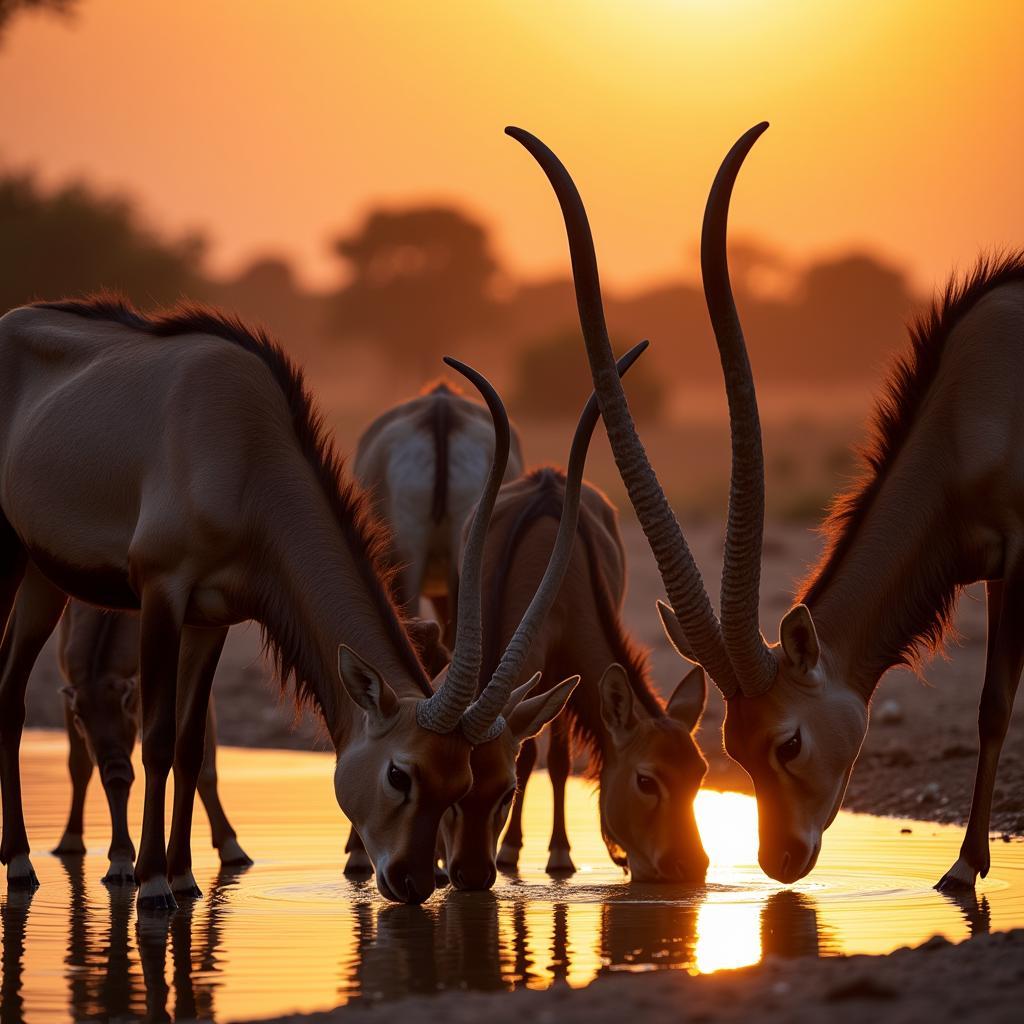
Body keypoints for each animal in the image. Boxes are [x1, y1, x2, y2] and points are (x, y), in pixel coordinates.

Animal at [444, 466, 708, 888]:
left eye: (699, 775)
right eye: (646, 780)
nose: (690, 865)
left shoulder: (564, 669)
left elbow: (558, 760)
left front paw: (559, 854)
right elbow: (529, 754)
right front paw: (514, 850)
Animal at [516, 117, 1024, 888]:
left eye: (788, 742)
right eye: (734, 748)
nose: (778, 860)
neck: (971, 403)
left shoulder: (1022, 554)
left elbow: (993, 703)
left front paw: (963, 869)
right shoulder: (998, 565)